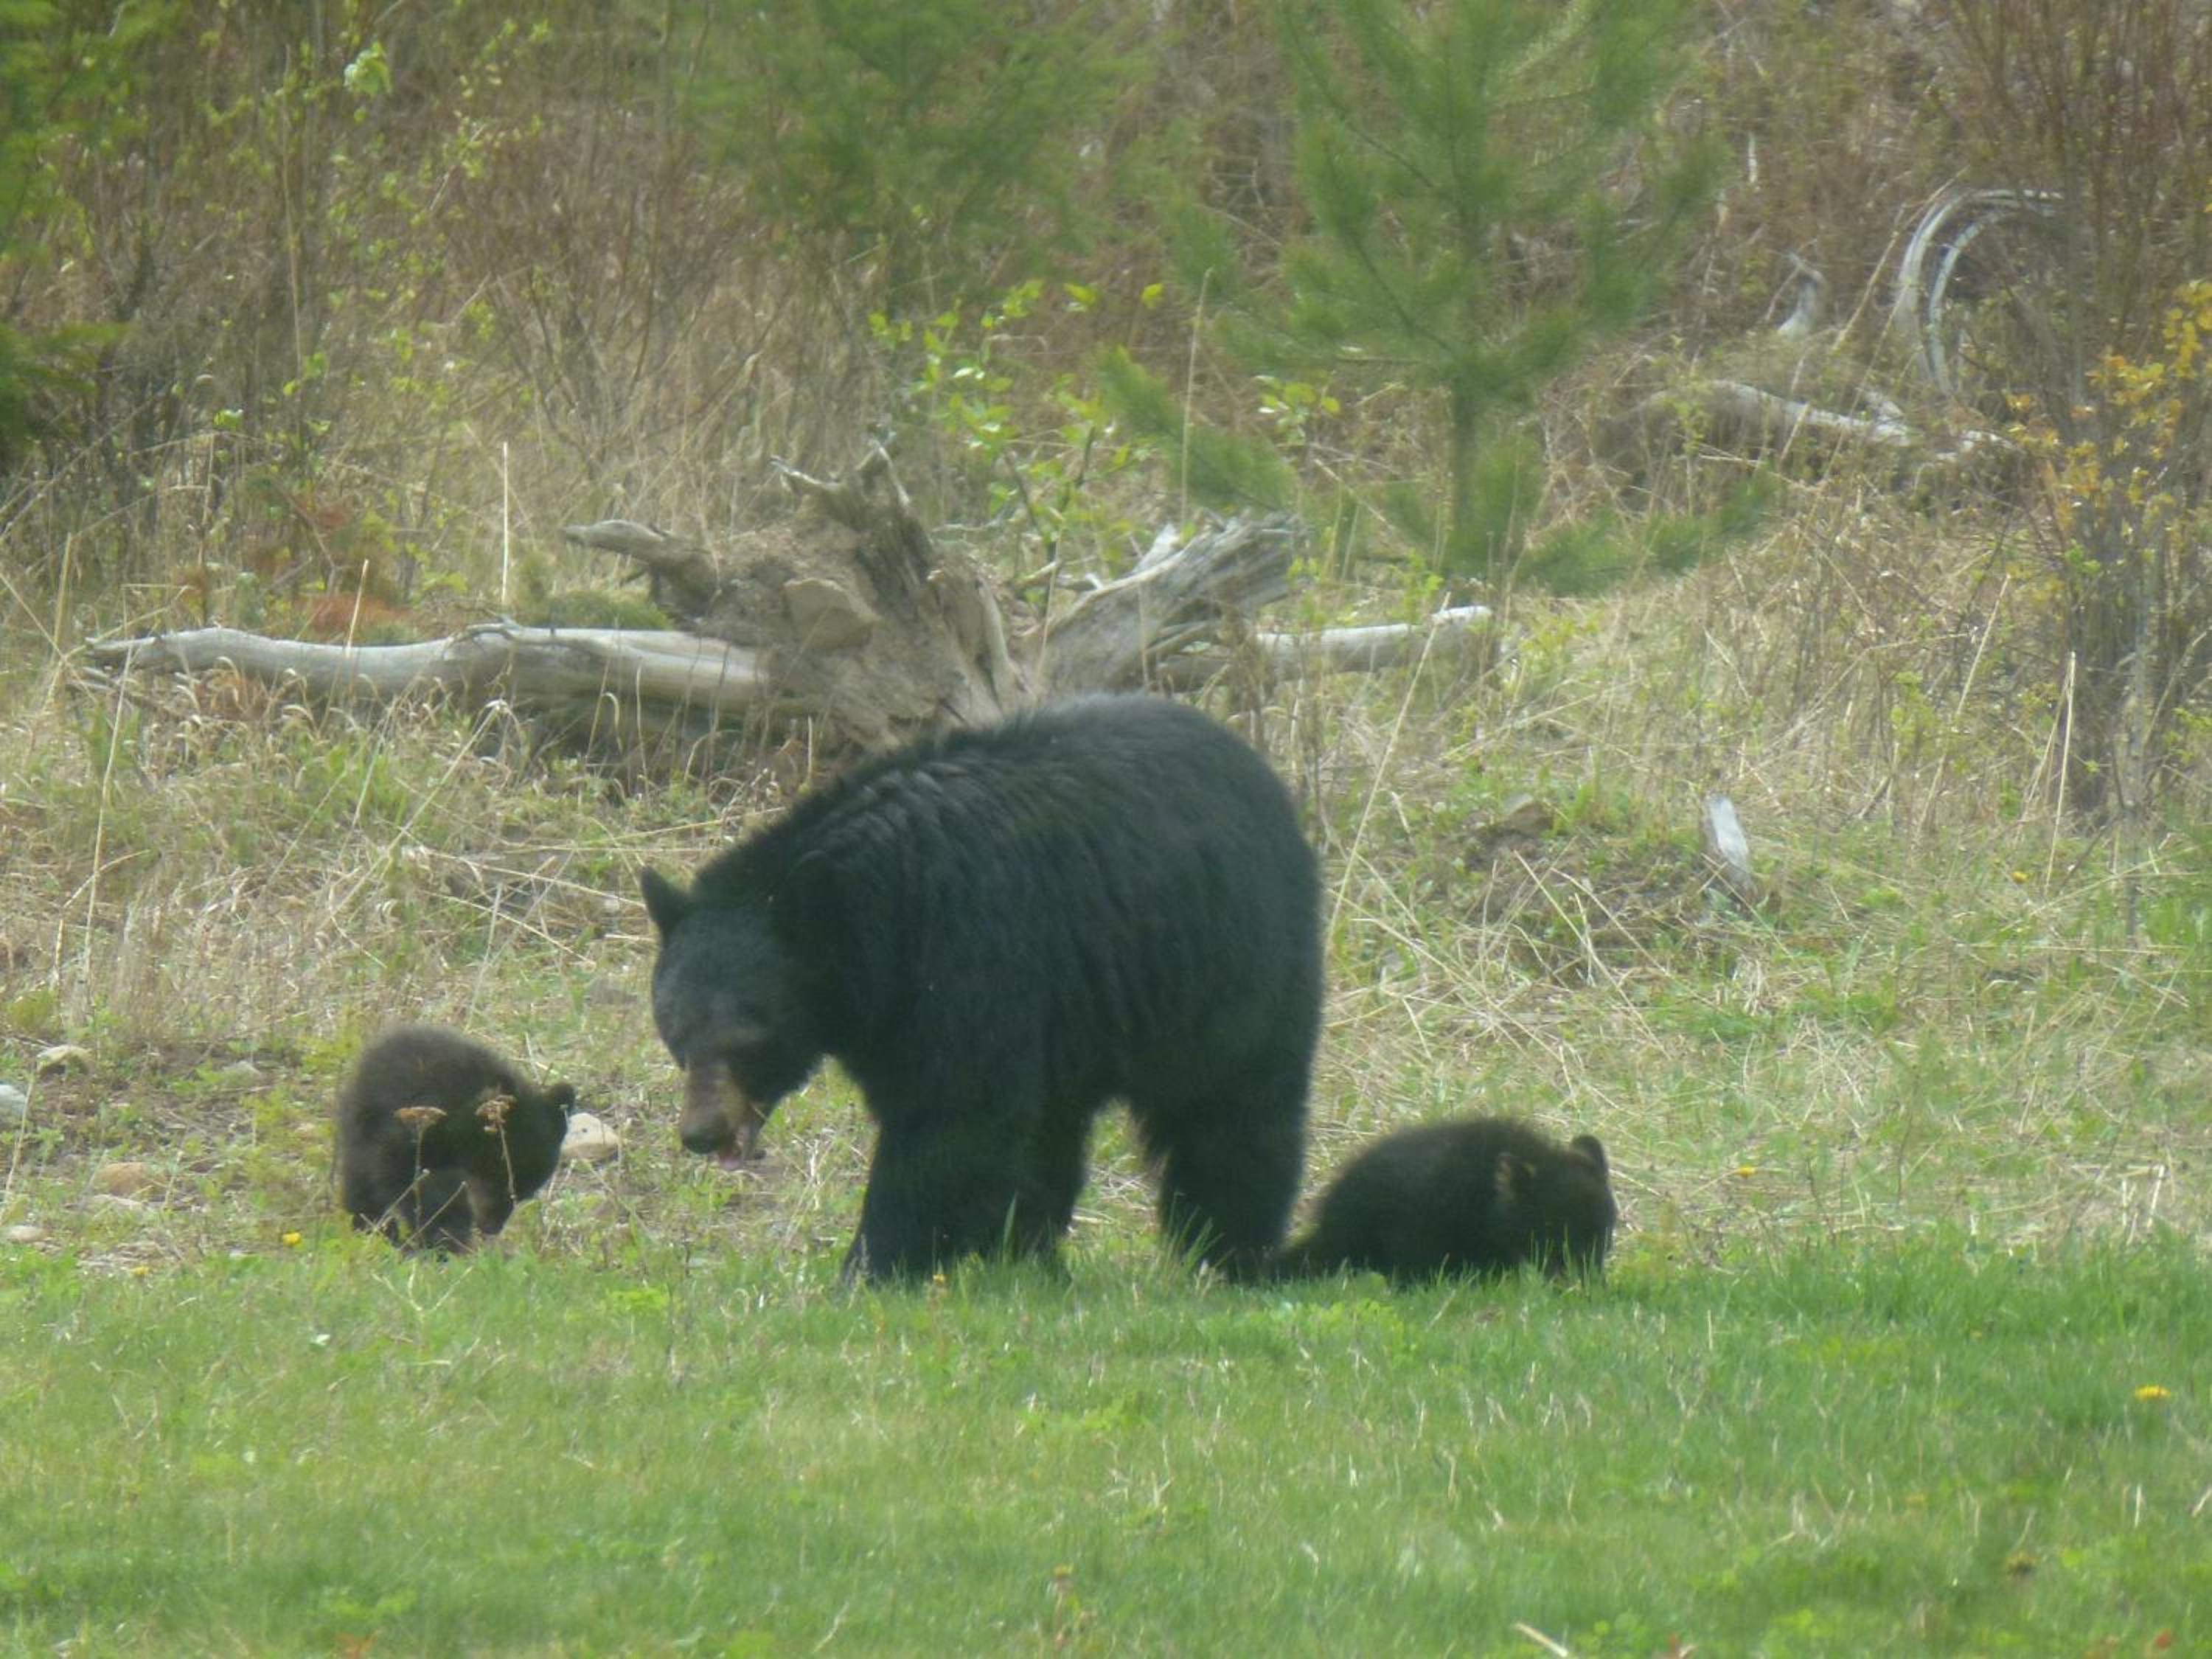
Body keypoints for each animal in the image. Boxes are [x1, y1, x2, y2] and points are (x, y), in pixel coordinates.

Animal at [335, 1023, 575, 1251]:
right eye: (497, 1178)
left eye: (524, 1193)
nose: (491, 1227)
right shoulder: (412, 1131)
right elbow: (400, 1174)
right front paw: (440, 1236)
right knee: (360, 1179)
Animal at [638, 693, 1322, 1284]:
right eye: (676, 1037)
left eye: (748, 1037)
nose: (700, 1134)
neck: (879, 917)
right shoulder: (889, 1013)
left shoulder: (972, 949)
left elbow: (955, 1116)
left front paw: (870, 1267)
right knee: (1055, 1130)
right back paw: (1032, 1256)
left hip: (1227, 962)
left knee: (1234, 1107)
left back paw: (1227, 1251)